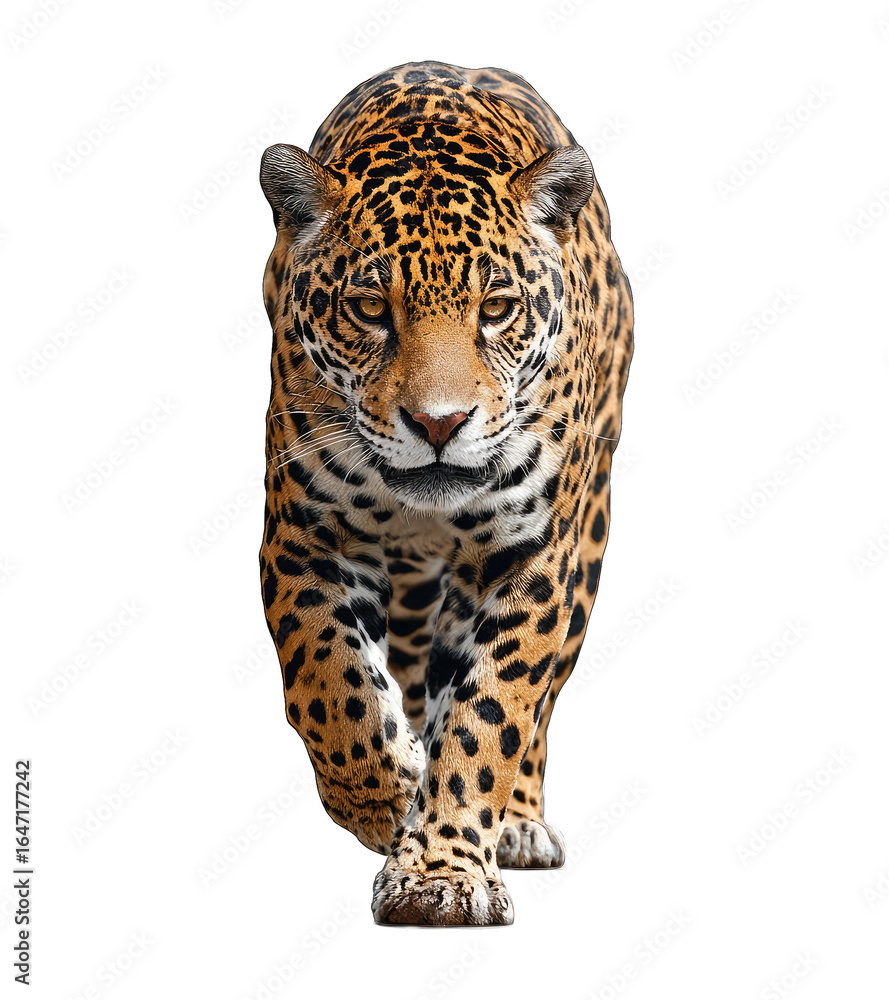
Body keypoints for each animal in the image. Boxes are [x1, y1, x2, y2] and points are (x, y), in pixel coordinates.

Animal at [258, 60, 633, 926]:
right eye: (369, 308)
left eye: (494, 309)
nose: (439, 422)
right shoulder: (303, 535)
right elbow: (329, 686)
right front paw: (386, 798)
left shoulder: (533, 556)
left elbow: (490, 714)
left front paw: (439, 869)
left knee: (534, 702)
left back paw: (519, 823)